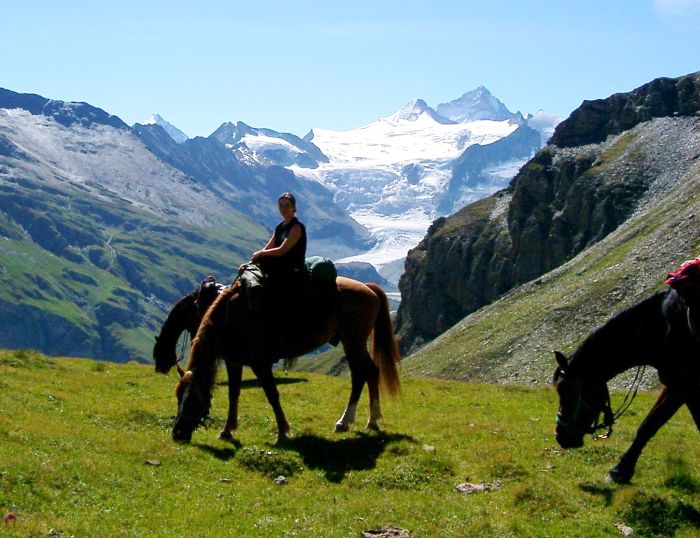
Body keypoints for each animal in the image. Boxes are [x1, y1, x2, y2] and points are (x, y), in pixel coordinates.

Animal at [157, 274, 402, 442]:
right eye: (178, 397)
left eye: (192, 400)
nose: (178, 433)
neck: (229, 318)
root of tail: (369, 288)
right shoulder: (234, 361)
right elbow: (233, 394)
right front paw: (227, 430)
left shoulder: (260, 362)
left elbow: (272, 394)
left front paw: (283, 431)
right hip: (353, 342)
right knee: (371, 371)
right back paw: (371, 420)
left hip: (353, 342)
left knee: (361, 374)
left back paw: (346, 421)